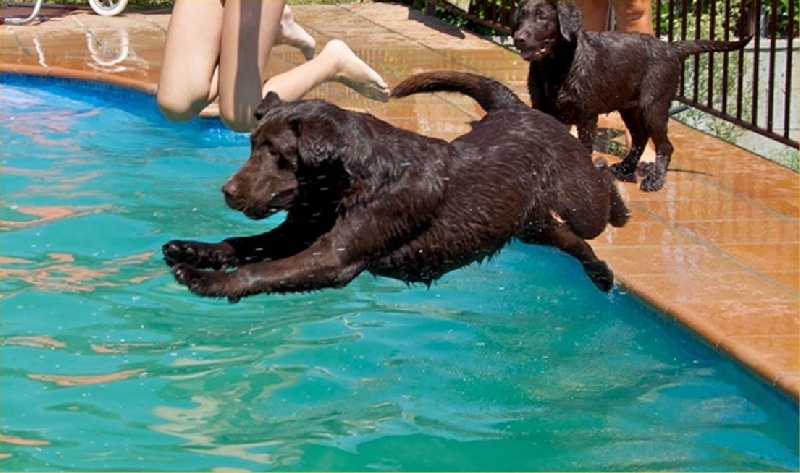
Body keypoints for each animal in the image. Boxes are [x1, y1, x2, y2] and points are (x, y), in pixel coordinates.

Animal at [163, 71, 629, 301]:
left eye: (277, 153)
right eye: (252, 145)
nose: (228, 192)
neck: (350, 183)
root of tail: (515, 108)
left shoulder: (334, 257)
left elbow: (260, 270)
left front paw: (204, 281)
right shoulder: (296, 231)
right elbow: (243, 244)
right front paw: (193, 250)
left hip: (577, 200)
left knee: (598, 191)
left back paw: (621, 198)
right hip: (528, 224)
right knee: (572, 241)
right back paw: (601, 274)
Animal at [511, 0, 755, 191]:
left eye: (542, 16)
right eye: (520, 18)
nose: (518, 38)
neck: (556, 66)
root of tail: (670, 48)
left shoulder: (586, 115)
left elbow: (584, 147)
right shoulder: (542, 108)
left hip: (653, 105)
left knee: (664, 146)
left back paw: (655, 181)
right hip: (630, 107)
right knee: (640, 138)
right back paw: (626, 167)